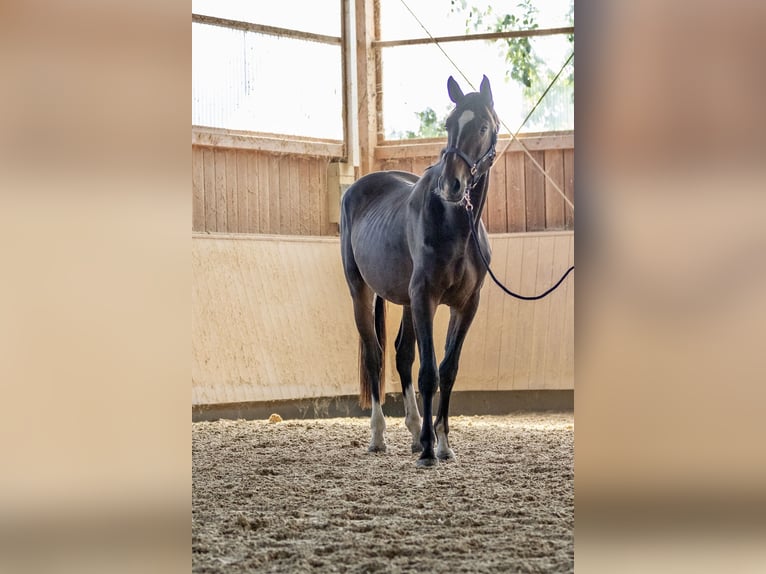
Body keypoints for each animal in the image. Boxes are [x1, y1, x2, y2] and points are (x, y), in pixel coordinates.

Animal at [340, 75, 498, 468]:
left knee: (401, 355)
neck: (457, 225)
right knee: (375, 354)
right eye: (449, 124)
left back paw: (413, 430)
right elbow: (429, 374)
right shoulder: (425, 297)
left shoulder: (466, 305)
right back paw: (379, 436)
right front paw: (428, 449)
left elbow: (448, 369)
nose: (452, 185)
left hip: (408, 302)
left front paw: (441, 443)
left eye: (482, 126)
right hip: (361, 291)